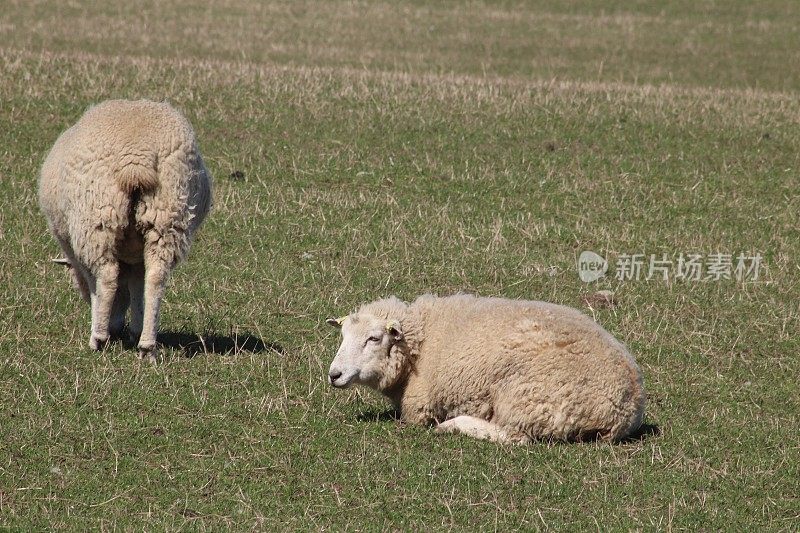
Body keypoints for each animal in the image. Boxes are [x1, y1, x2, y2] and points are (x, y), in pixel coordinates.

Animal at [39, 97, 212, 360]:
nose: (116, 328)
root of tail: (137, 158)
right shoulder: (136, 258)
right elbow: (137, 287)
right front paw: (135, 330)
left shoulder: (77, 251)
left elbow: (97, 287)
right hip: (168, 217)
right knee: (156, 279)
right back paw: (147, 346)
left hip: (96, 220)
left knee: (108, 276)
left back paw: (98, 339)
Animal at [328, 294, 648, 442]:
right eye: (343, 336)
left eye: (374, 338)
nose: (334, 374)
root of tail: (628, 406)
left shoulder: (420, 407)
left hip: (527, 397)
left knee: (515, 437)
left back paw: (454, 425)